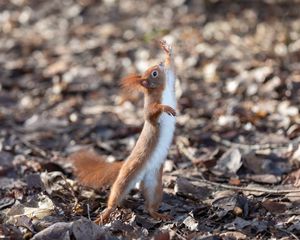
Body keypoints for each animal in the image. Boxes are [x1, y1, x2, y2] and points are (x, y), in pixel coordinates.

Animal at [70, 40, 177, 224]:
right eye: (154, 73)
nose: (160, 64)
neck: (162, 91)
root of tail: (124, 163)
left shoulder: (170, 82)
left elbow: (173, 70)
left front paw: (167, 51)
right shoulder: (150, 107)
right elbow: (151, 114)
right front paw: (165, 107)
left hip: (154, 183)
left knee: (150, 205)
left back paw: (158, 214)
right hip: (126, 177)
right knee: (116, 195)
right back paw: (105, 214)